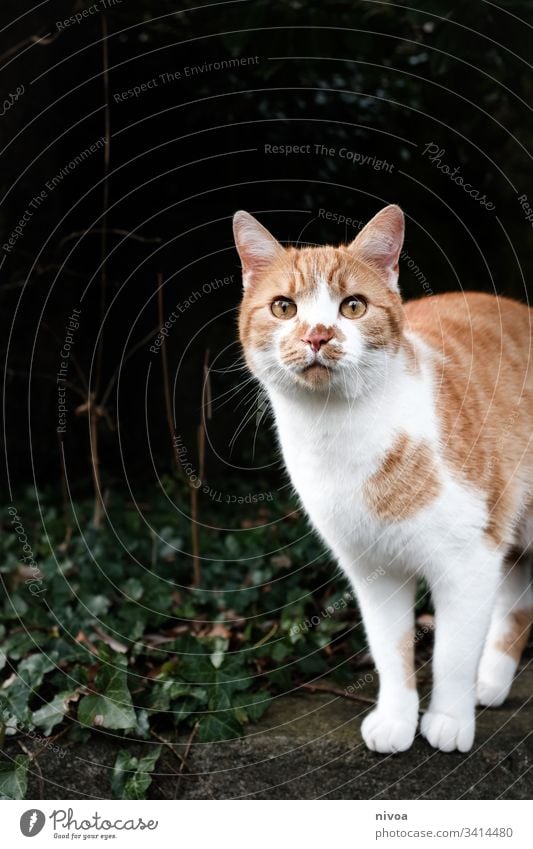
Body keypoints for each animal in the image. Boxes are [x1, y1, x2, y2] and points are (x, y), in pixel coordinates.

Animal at [233, 204, 532, 748]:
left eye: (352, 307)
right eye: (284, 308)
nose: (317, 335)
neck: (339, 435)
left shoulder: (468, 560)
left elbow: (452, 653)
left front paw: (448, 720)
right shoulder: (372, 569)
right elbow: (390, 650)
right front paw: (397, 718)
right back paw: (492, 681)